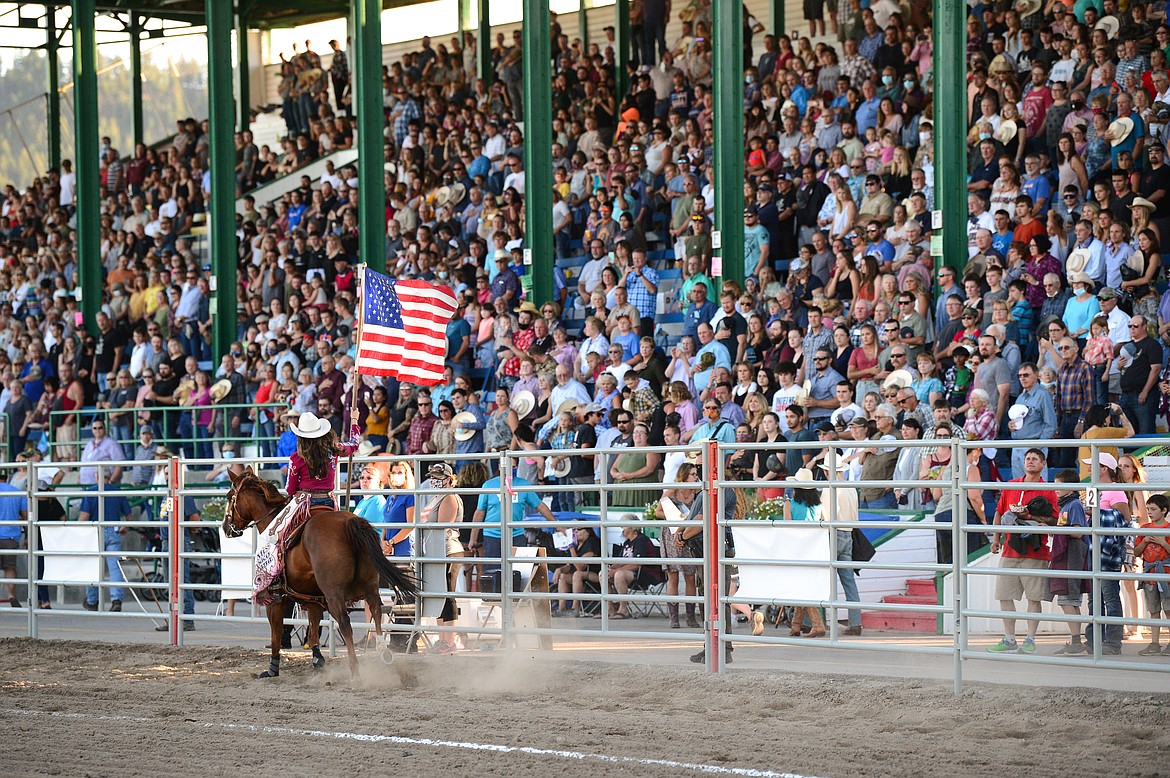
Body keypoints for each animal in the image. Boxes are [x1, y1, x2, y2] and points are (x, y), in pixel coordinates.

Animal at [221, 467, 418, 678]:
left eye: (229, 496)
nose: (225, 527)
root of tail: (350, 523)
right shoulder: (313, 599)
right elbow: (313, 630)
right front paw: (318, 662)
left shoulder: (275, 599)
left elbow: (276, 633)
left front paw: (272, 669)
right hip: (370, 586)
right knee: (376, 610)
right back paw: (384, 655)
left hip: (334, 593)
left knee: (345, 622)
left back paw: (355, 670)